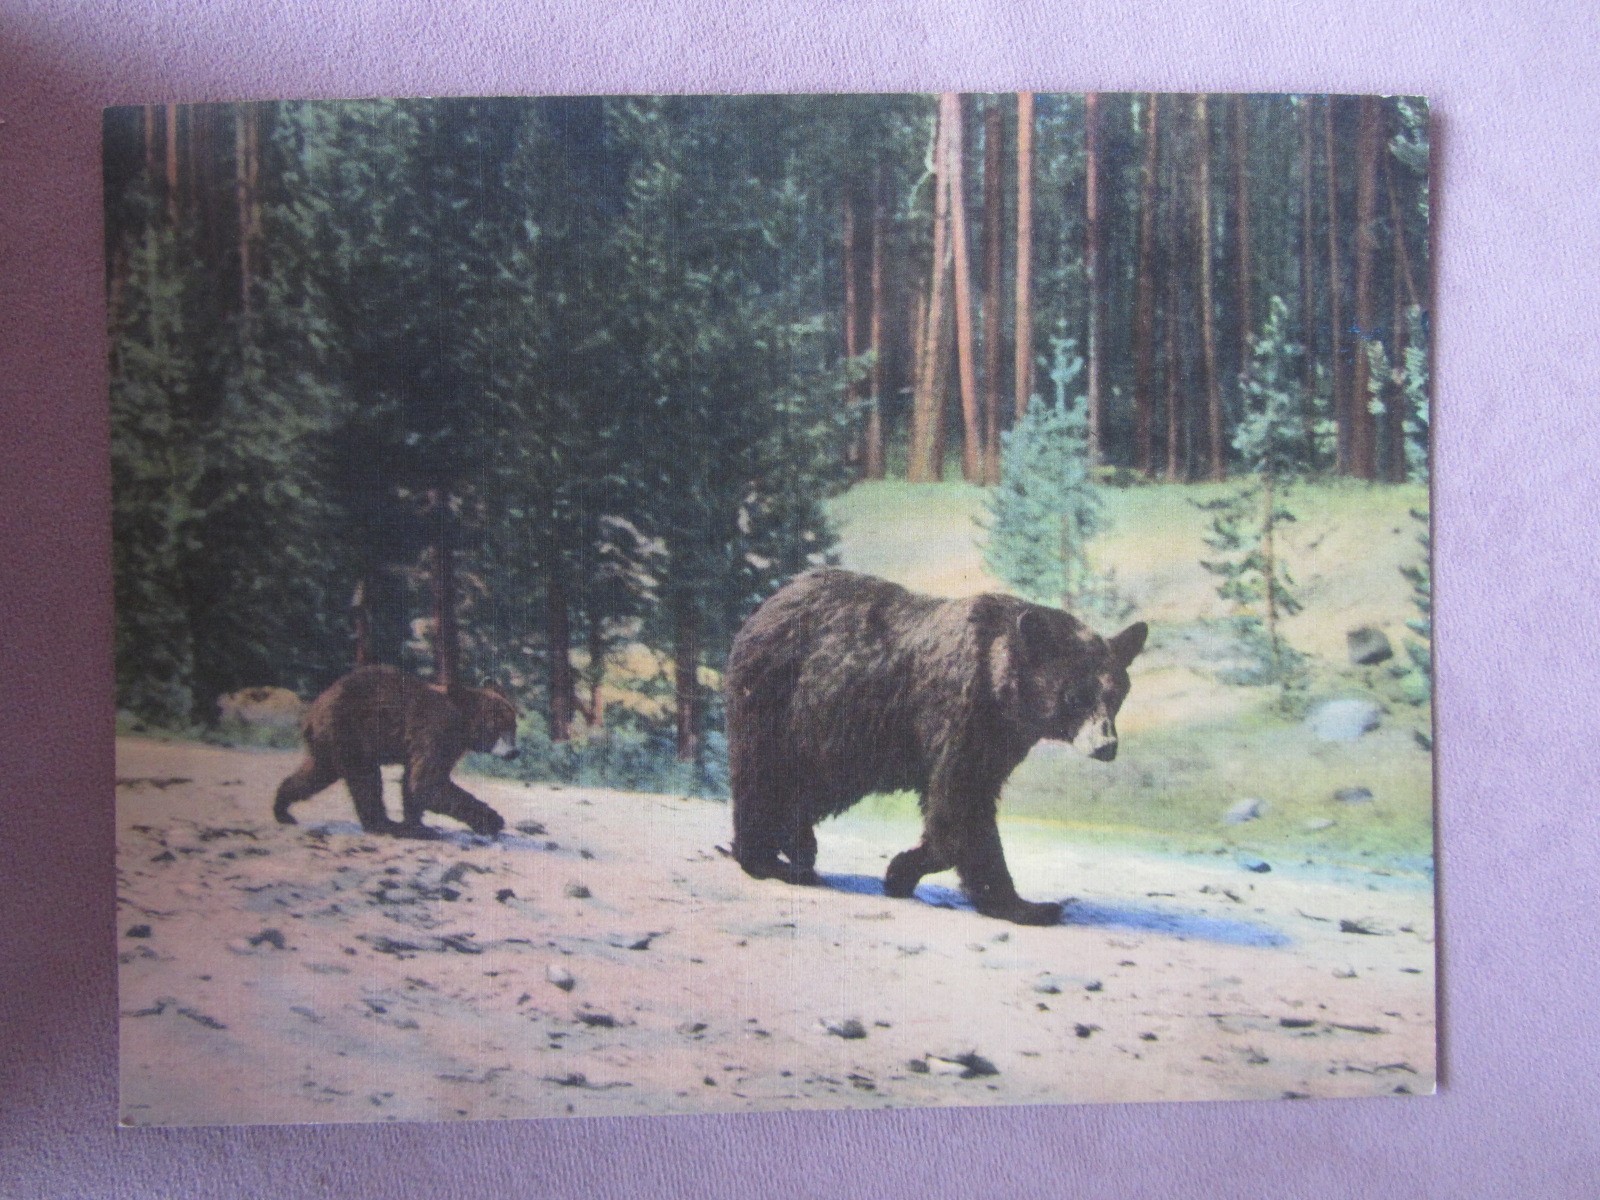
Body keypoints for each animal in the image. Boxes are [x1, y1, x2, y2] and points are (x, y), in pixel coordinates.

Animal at [272, 665, 519, 838]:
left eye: (513, 726)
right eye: (499, 727)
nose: (514, 752)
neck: (462, 724)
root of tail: (312, 710)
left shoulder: (440, 745)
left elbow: (414, 783)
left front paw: (417, 824)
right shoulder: (434, 732)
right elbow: (427, 782)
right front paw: (492, 820)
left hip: (329, 744)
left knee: (317, 773)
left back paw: (282, 809)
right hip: (350, 732)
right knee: (365, 780)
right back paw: (385, 824)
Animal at [727, 568, 1147, 926]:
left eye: (1115, 696)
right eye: (1076, 697)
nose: (1106, 745)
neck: (1002, 688)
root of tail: (767, 604)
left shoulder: (1001, 738)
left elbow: (967, 799)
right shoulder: (960, 715)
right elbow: (960, 806)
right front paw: (1024, 905)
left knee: (808, 787)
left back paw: (797, 844)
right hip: (782, 701)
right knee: (763, 775)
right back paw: (766, 860)